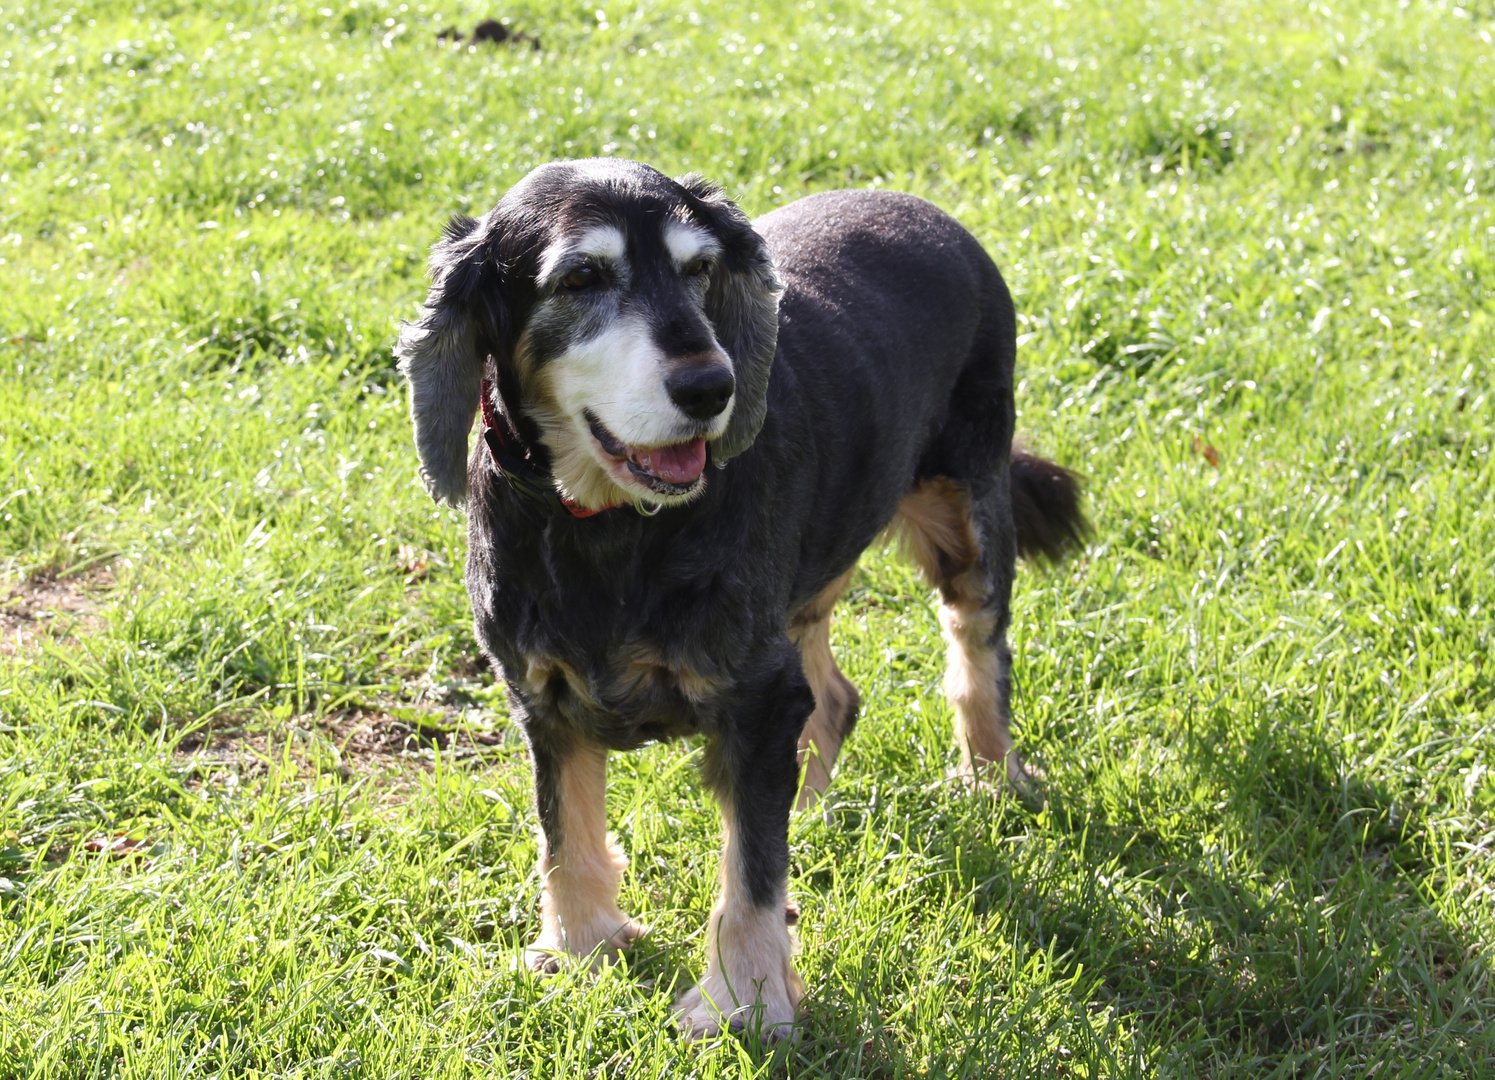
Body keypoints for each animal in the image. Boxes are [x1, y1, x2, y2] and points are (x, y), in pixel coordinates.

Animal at [391, 162, 1082, 1035]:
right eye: (580, 278)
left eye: (699, 269)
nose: (710, 386)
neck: (608, 525)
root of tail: (926, 211)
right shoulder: (541, 696)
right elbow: (564, 836)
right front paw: (580, 949)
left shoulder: (755, 696)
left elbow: (750, 869)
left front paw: (746, 1000)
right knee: (835, 696)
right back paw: (814, 812)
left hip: (968, 507)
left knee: (976, 649)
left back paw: (992, 780)